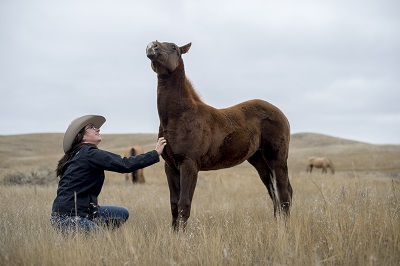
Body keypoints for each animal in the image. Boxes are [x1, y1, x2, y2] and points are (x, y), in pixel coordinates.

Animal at [145, 40, 292, 231]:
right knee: (274, 192)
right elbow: (174, 205)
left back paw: (285, 228)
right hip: (259, 161)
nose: (152, 46)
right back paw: (277, 225)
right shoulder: (170, 167)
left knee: (284, 193)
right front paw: (174, 234)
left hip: (277, 159)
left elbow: (184, 204)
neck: (179, 116)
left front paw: (182, 237)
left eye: (174, 48)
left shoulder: (189, 164)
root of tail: (282, 114)